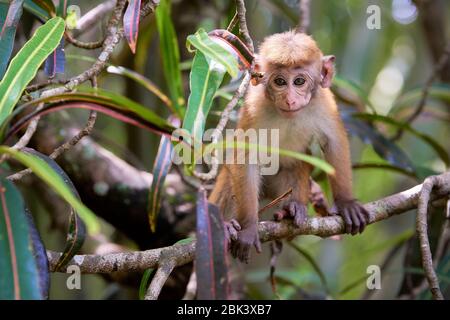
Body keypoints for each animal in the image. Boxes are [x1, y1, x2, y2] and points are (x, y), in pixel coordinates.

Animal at [209, 30, 368, 262]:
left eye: (299, 81)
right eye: (280, 81)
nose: (290, 99)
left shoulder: (324, 102)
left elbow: (334, 141)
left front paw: (346, 203)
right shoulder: (254, 107)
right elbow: (246, 157)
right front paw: (249, 228)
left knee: (295, 168)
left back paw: (292, 209)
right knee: (232, 178)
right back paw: (227, 225)